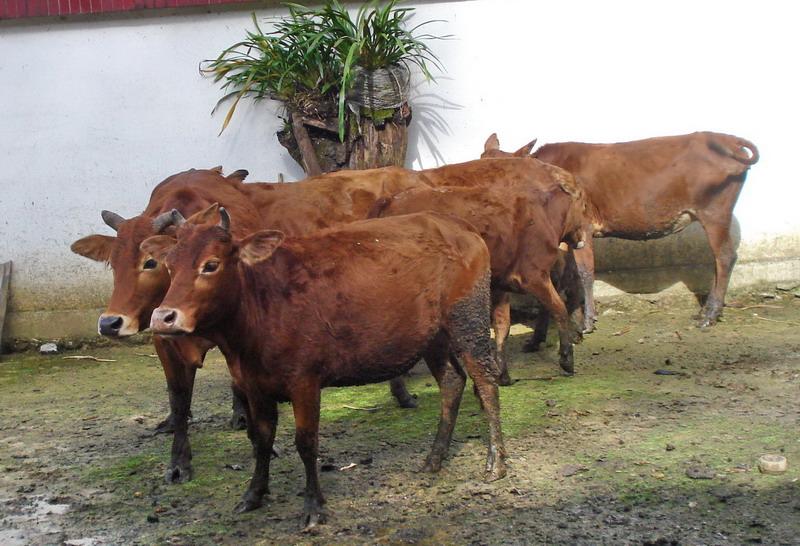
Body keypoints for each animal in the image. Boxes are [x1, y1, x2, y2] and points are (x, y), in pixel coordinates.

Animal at [370, 178, 588, 374]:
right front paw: (566, 359)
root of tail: (391, 200)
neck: (544, 213)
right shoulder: (534, 277)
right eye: (584, 205)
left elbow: (502, 325)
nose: (583, 238)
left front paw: (502, 372)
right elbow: (559, 309)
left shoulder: (500, 285)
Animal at [484, 131, 760, 328]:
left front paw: (587, 321)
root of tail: (726, 139)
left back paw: (709, 314)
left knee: (724, 257)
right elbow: (564, 276)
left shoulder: (584, 227)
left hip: (715, 213)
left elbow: (585, 273)